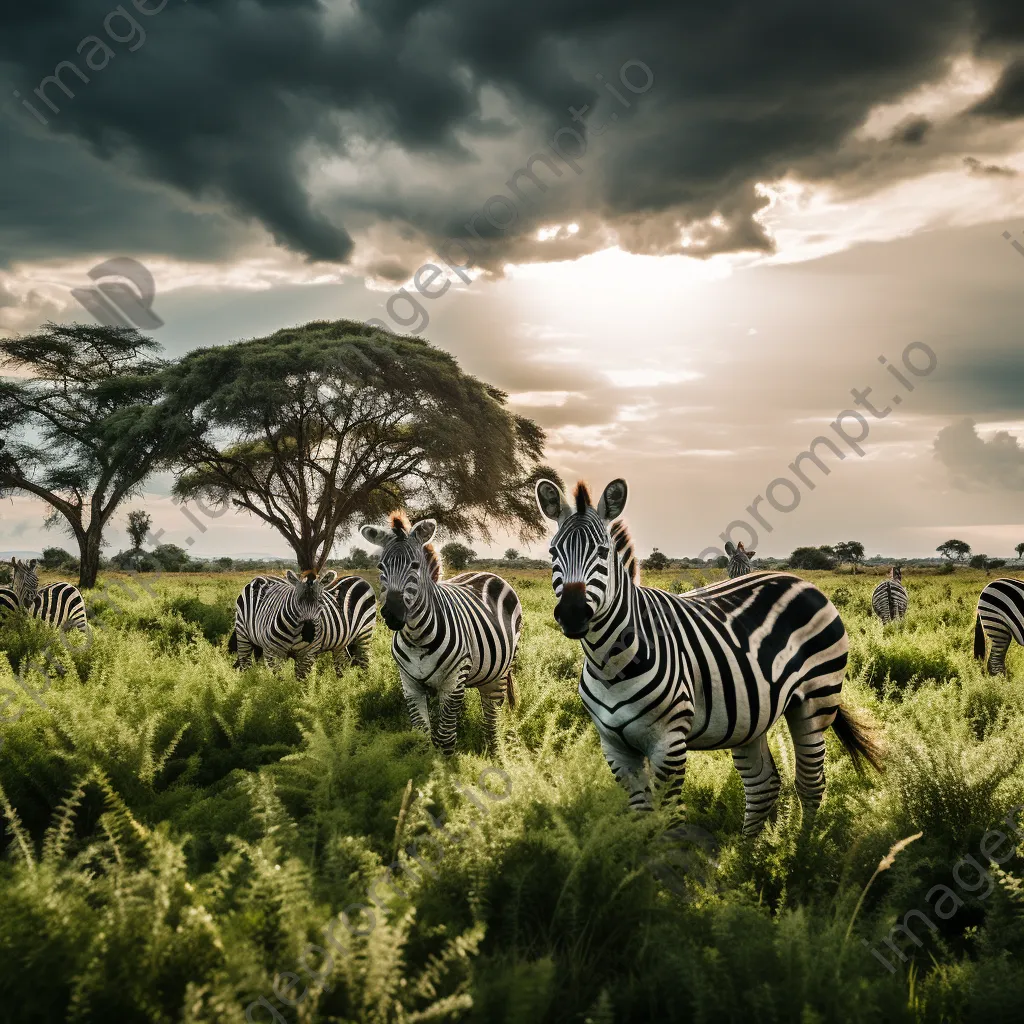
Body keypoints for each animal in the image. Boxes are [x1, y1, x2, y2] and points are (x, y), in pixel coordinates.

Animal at [358, 509, 520, 753]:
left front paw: (444, 763)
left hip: (499, 673)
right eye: (380, 567)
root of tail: (487, 573)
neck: (417, 637)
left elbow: (445, 737)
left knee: (492, 716)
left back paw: (495, 751)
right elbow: (422, 735)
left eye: (415, 565)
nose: (393, 614)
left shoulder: (453, 680)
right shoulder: (410, 683)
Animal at [536, 475, 880, 835]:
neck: (609, 661)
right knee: (763, 784)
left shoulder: (669, 742)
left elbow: (670, 823)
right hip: (750, 717)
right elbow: (643, 820)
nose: (573, 614)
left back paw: (802, 846)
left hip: (815, 700)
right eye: (553, 552)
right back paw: (749, 851)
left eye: (603, 552)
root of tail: (799, 579)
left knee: (811, 783)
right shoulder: (615, 748)